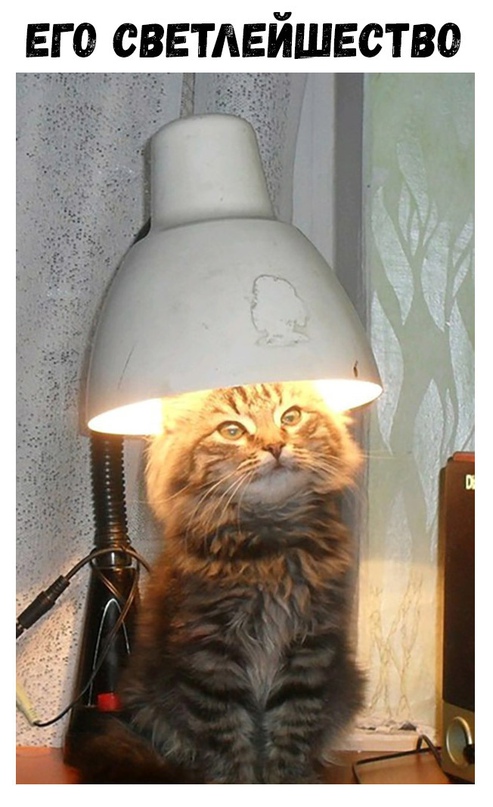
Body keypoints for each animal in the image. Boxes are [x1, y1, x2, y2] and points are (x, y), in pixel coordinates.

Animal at [75, 381, 365, 784]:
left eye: (290, 417)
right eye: (232, 431)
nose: (275, 446)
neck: (268, 550)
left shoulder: (309, 647)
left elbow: (291, 729)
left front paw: (289, 779)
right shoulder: (211, 653)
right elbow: (227, 737)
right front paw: (237, 779)